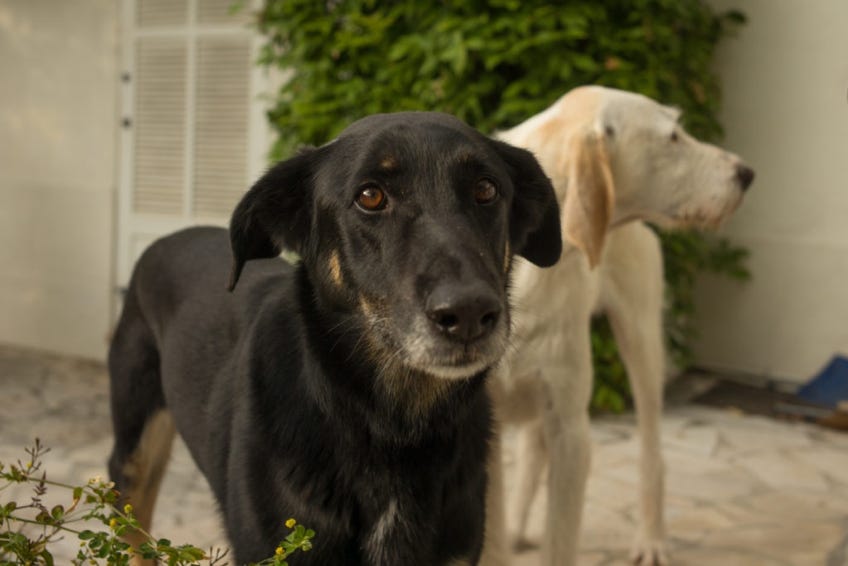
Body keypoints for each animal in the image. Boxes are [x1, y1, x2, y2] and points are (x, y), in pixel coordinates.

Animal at [480, 85, 752, 566]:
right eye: (672, 137)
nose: (746, 173)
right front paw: (505, 536)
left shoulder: (572, 431)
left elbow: (560, 541)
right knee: (531, 453)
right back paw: (517, 528)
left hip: (641, 346)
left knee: (651, 454)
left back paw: (651, 539)